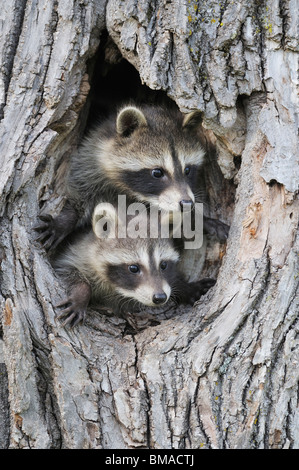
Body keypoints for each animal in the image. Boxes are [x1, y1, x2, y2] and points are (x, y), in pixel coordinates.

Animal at [54, 202, 216, 326]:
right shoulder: (77, 255)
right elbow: (68, 271)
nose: (160, 297)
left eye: (163, 265)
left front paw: (185, 287)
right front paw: (81, 295)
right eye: (134, 268)